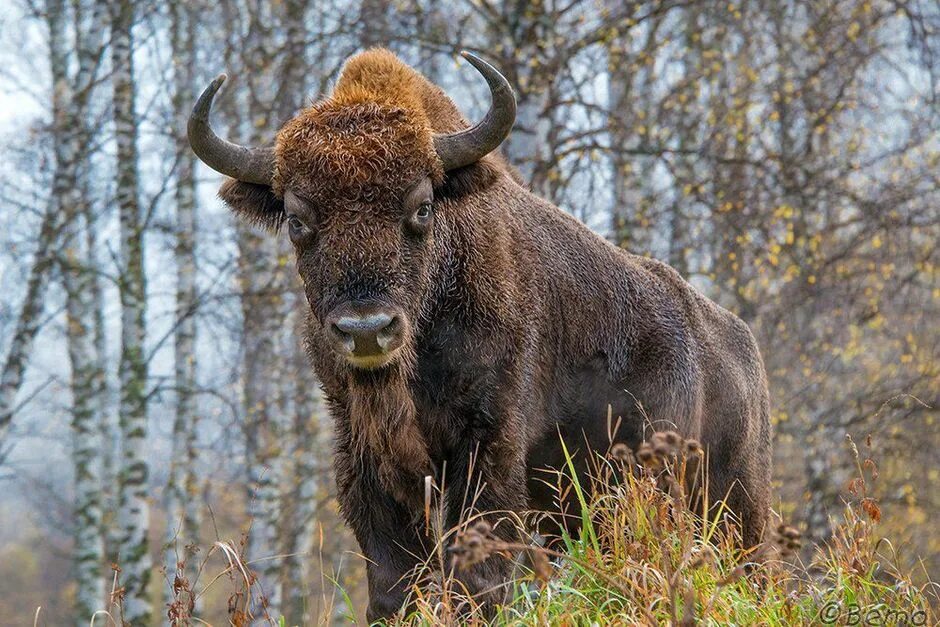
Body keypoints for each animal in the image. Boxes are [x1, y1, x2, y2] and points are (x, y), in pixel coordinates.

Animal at [189, 49, 772, 624]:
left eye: (422, 207)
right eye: (296, 219)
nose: (367, 329)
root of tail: (742, 350)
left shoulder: (487, 444)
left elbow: (479, 571)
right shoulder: (362, 454)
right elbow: (393, 580)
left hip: (728, 503)